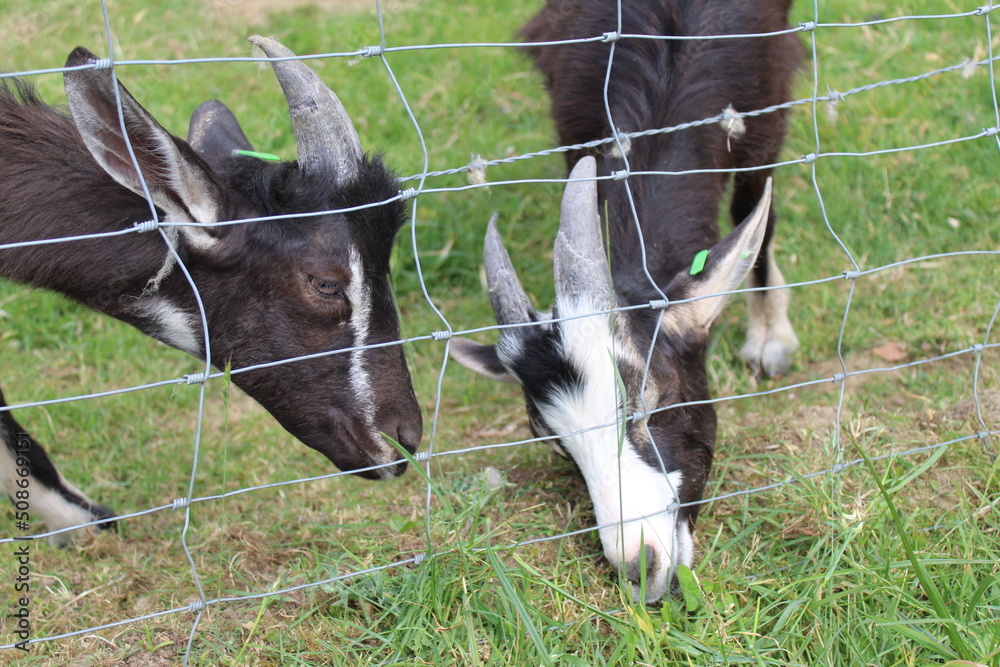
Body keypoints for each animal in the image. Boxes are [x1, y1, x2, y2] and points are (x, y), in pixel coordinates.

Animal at [450, 0, 800, 604]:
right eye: (554, 442)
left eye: (653, 401)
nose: (640, 566)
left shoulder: (765, 101)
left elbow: (758, 209)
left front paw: (771, 336)